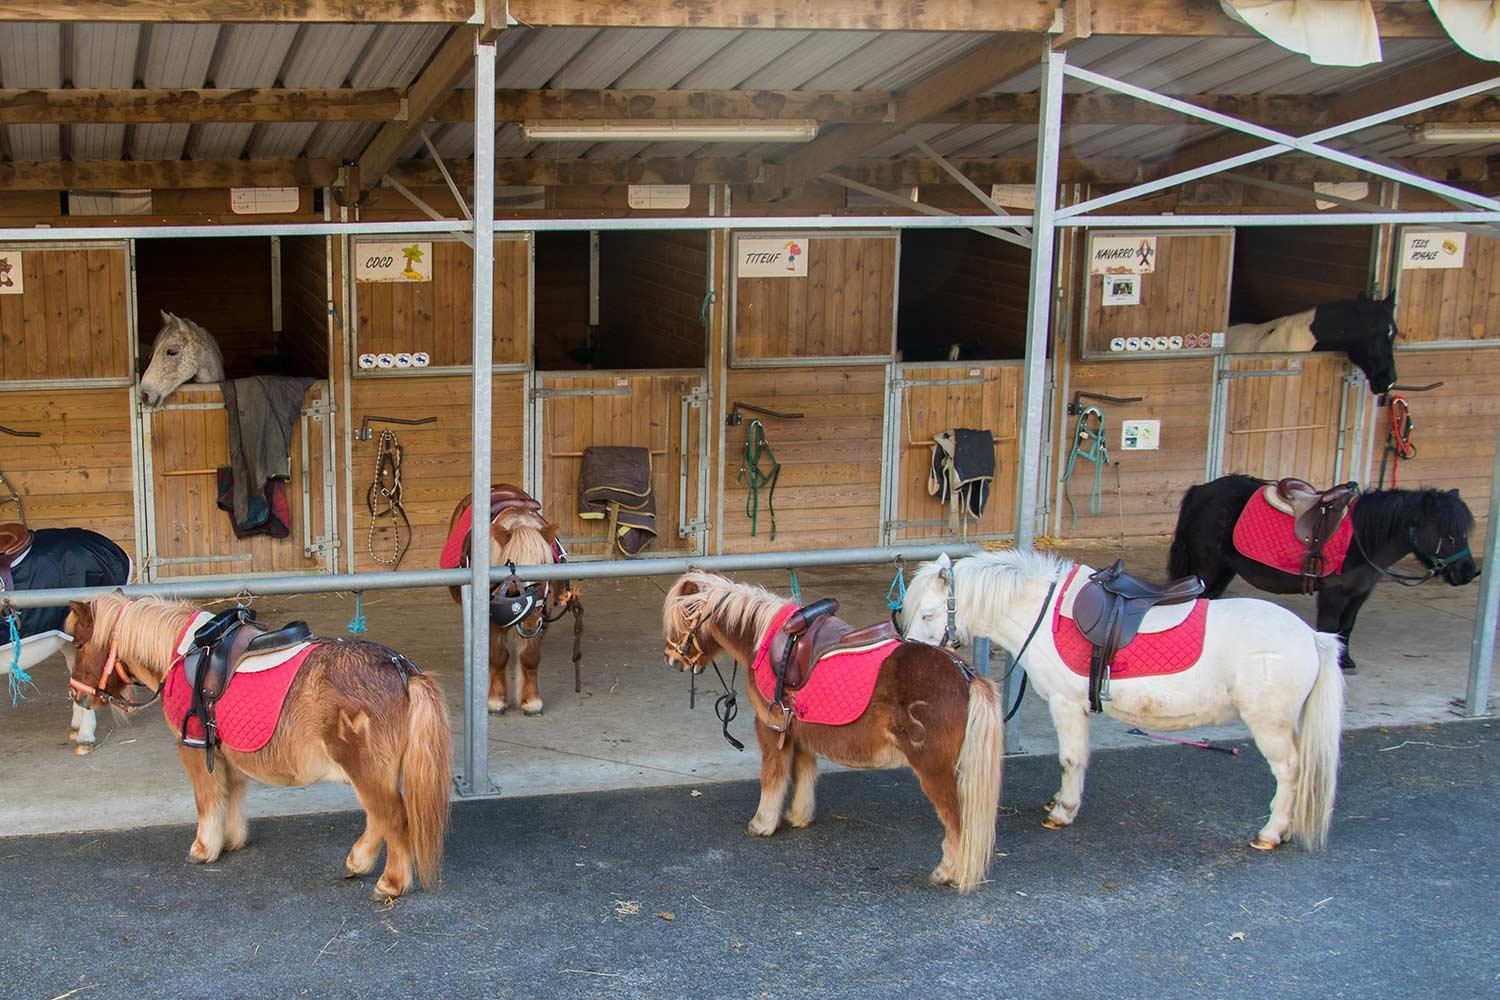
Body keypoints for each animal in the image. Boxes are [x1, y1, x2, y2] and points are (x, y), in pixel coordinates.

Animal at [66, 593, 450, 899]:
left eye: (80, 645)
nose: (76, 695)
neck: (183, 653)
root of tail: (402, 670)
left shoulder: (192, 749)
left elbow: (207, 799)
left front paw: (204, 848)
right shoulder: (228, 754)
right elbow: (231, 793)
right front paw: (231, 840)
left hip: (366, 770)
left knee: (392, 818)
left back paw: (391, 882)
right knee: (378, 818)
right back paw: (357, 862)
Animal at [444, 494, 573, 716]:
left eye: (544, 568)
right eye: (510, 576)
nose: (529, 622)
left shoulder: (542, 618)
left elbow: (530, 657)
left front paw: (531, 701)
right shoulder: (491, 620)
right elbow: (498, 657)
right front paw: (496, 700)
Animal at [663, 575, 1002, 893]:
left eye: (681, 621)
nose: (672, 659)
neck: (765, 642)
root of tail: (964, 673)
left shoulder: (771, 728)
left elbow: (773, 776)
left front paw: (762, 824)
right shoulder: (799, 732)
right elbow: (803, 773)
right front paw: (798, 817)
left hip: (935, 770)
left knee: (958, 822)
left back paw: (947, 872)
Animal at [894, 548, 1344, 851]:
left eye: (930, 614)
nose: (911, 657)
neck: (1039, 612)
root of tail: (1312, 636)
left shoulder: (1065, 702)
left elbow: (1070, 758)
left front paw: (1063, 812)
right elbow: (1077, 758)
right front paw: (1062, 801)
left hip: (1269, 724)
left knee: (1289, 771)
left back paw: (1270, 833)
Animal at [1170, 476, 1476, 671]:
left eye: (1464, 532)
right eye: (1447, 534)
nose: (1469, 572)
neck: (1361, 539)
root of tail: (1202, 489)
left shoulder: (1360, 593)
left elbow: (1347, 626)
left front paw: (1346, 661)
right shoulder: (1334, 593)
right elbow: (1329, 628)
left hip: (1223, 569)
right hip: (1207, 567)